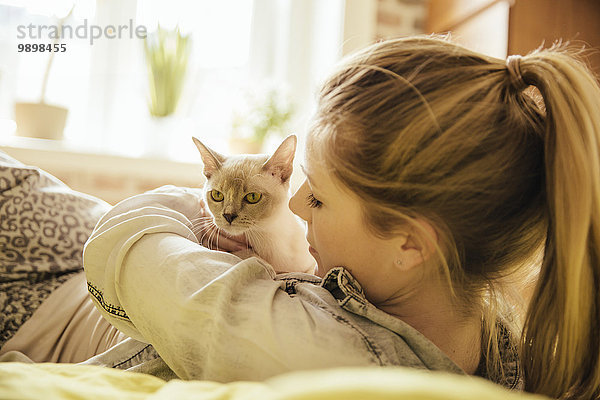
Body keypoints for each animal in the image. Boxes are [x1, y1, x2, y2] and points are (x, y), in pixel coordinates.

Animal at [192, 135, 316, 276]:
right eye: (217, 195)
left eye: (253, 197)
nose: (228, 216)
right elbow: (246, 254)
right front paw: (268, 268)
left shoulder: (311, 264)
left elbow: (311, 273)